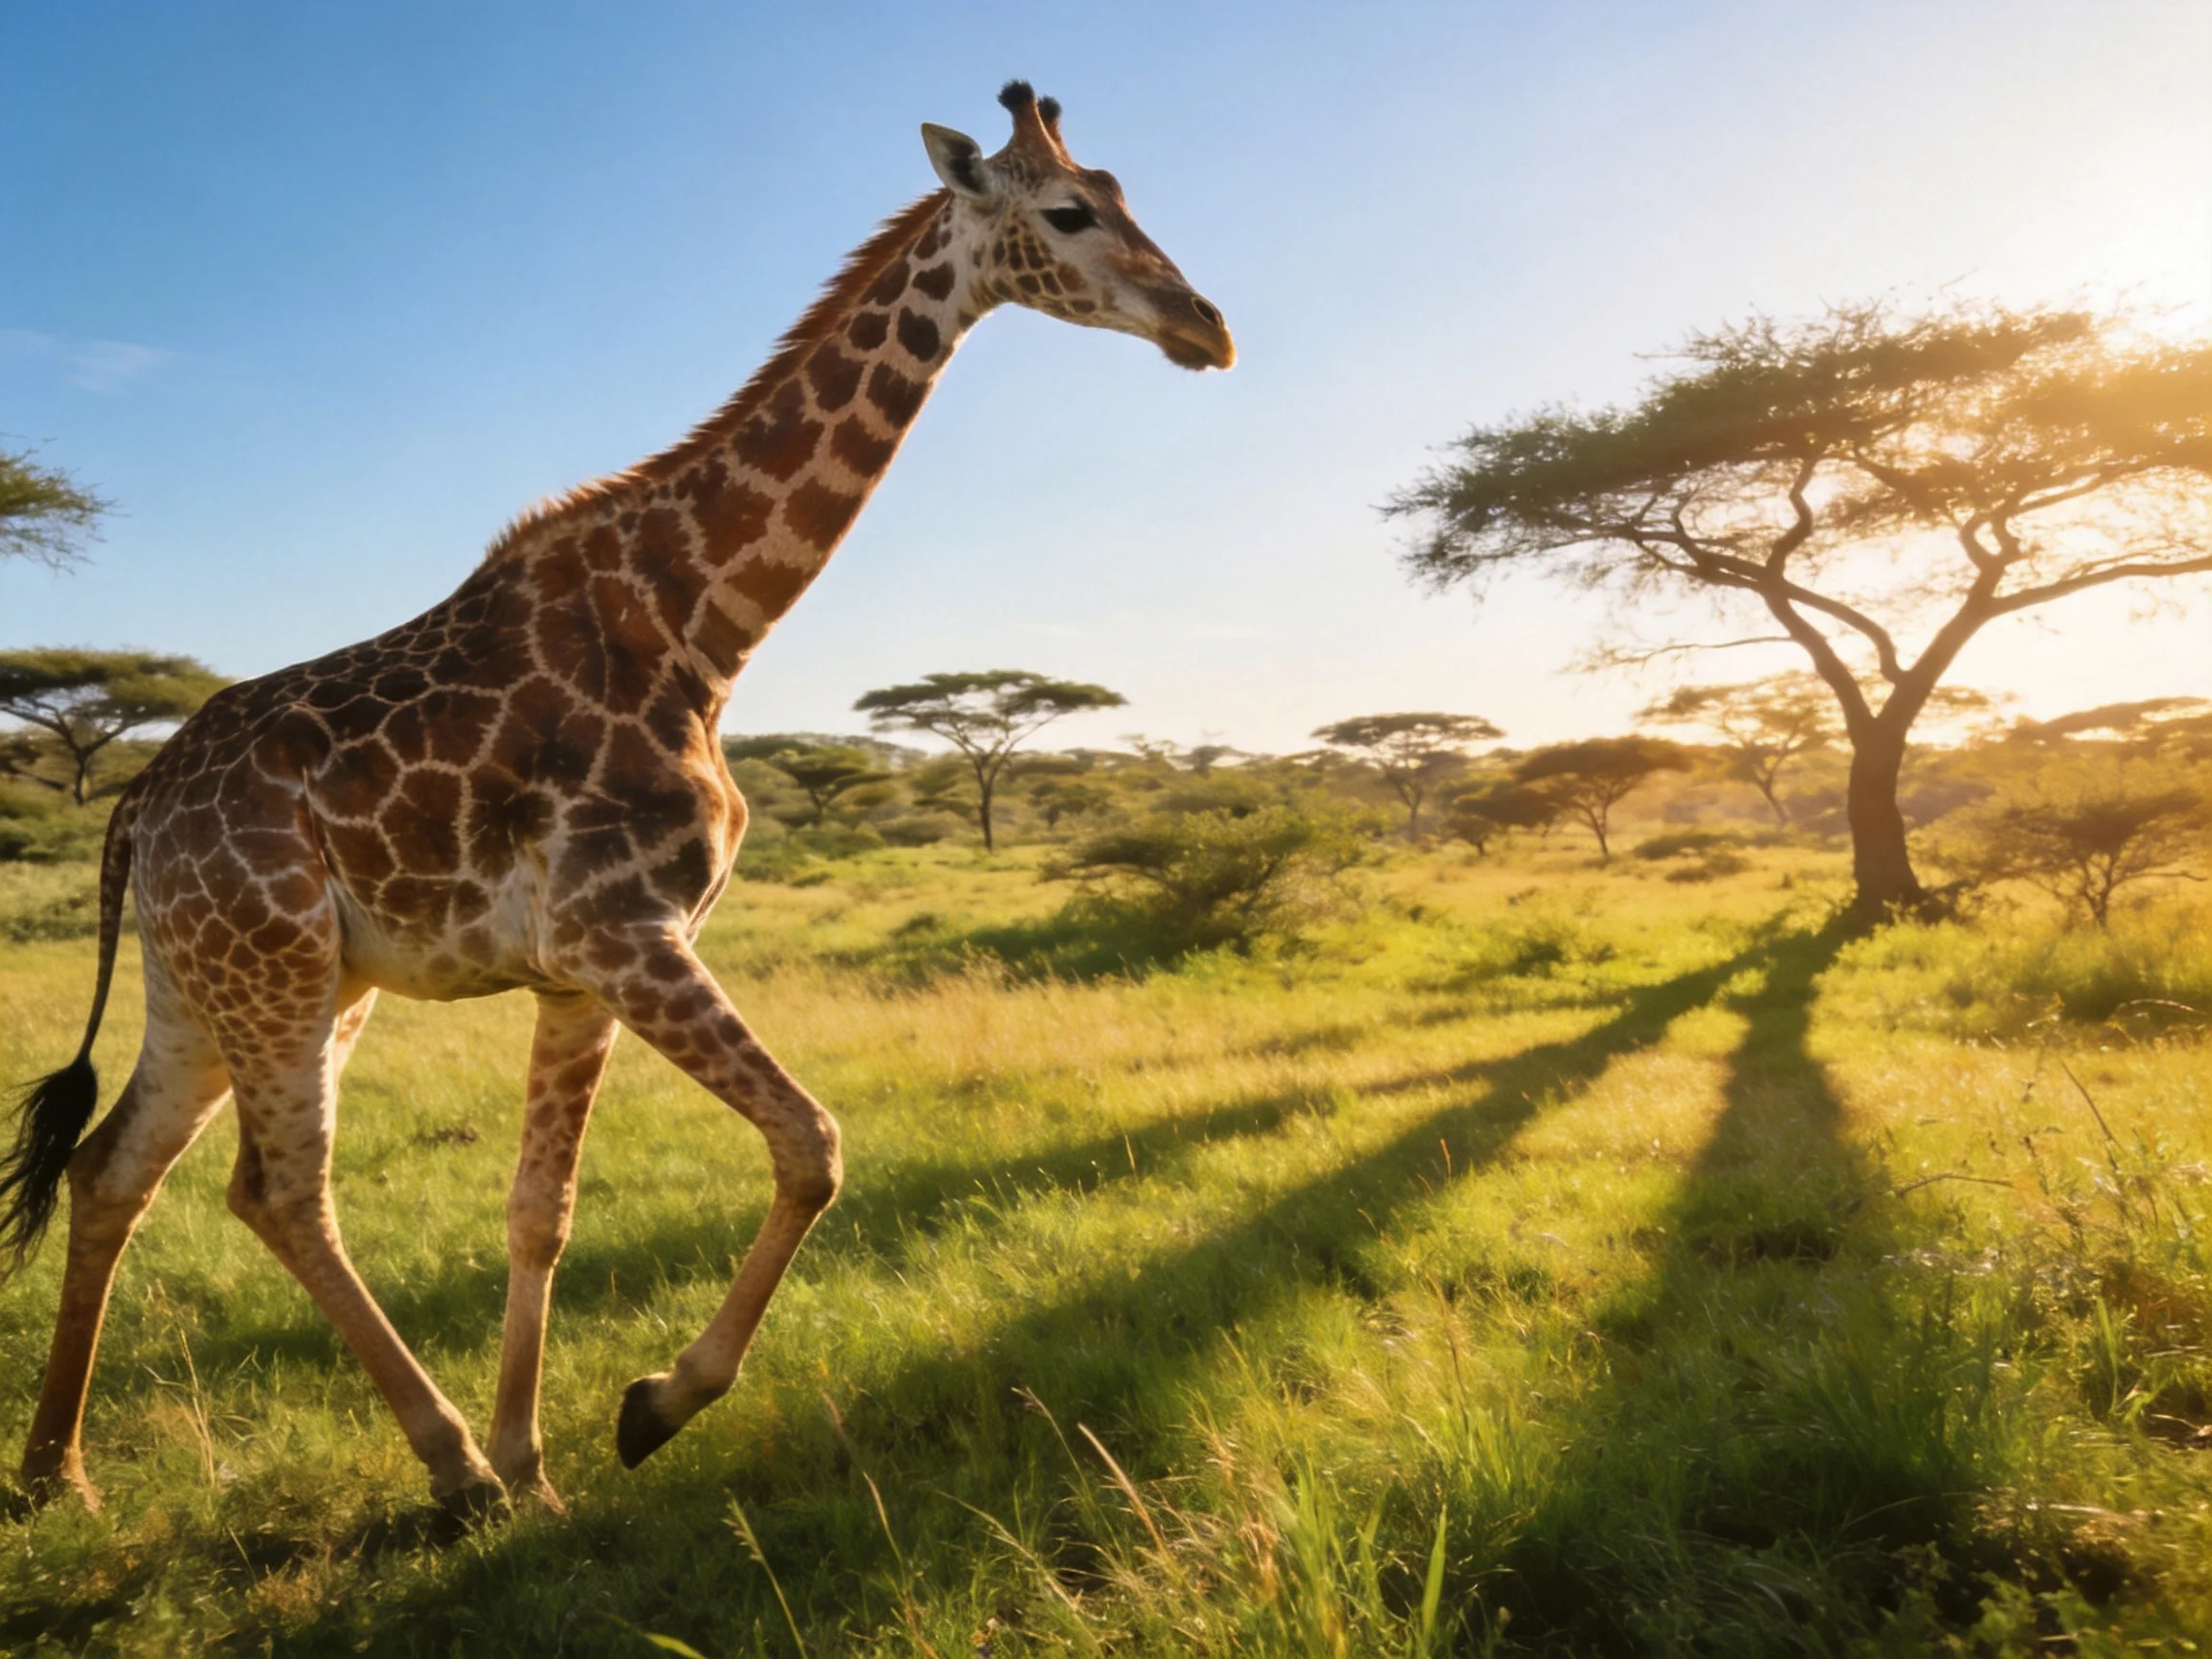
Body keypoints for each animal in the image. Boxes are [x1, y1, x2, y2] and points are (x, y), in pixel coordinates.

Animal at [1, 81, 1232, 1519]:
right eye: (1072, 211)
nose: (1209, 328)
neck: (705, 624)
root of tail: (137, 803)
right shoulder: (625, 931)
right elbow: (814, 1143)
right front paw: (648, 1409)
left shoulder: (580, 970)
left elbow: (544, 1209)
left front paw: (540, 1462)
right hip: (276, 972)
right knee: (278, 1192)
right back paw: (445, 1465)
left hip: (222, 984)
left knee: (114, 1167)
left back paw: (59, 1470)